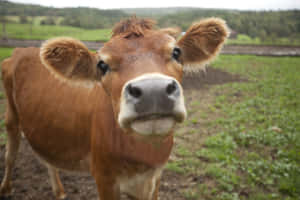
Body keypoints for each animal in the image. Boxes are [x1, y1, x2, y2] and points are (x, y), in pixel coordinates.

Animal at [0, 17, 227, 200]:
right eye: (102, 65)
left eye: (176, 52)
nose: (153, 91)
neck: (144, 155)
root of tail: (22, 50)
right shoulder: (104, 178)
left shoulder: (155, 178)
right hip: (11, 116)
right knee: (10, 154)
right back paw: (6, 189)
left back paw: (59, 191)